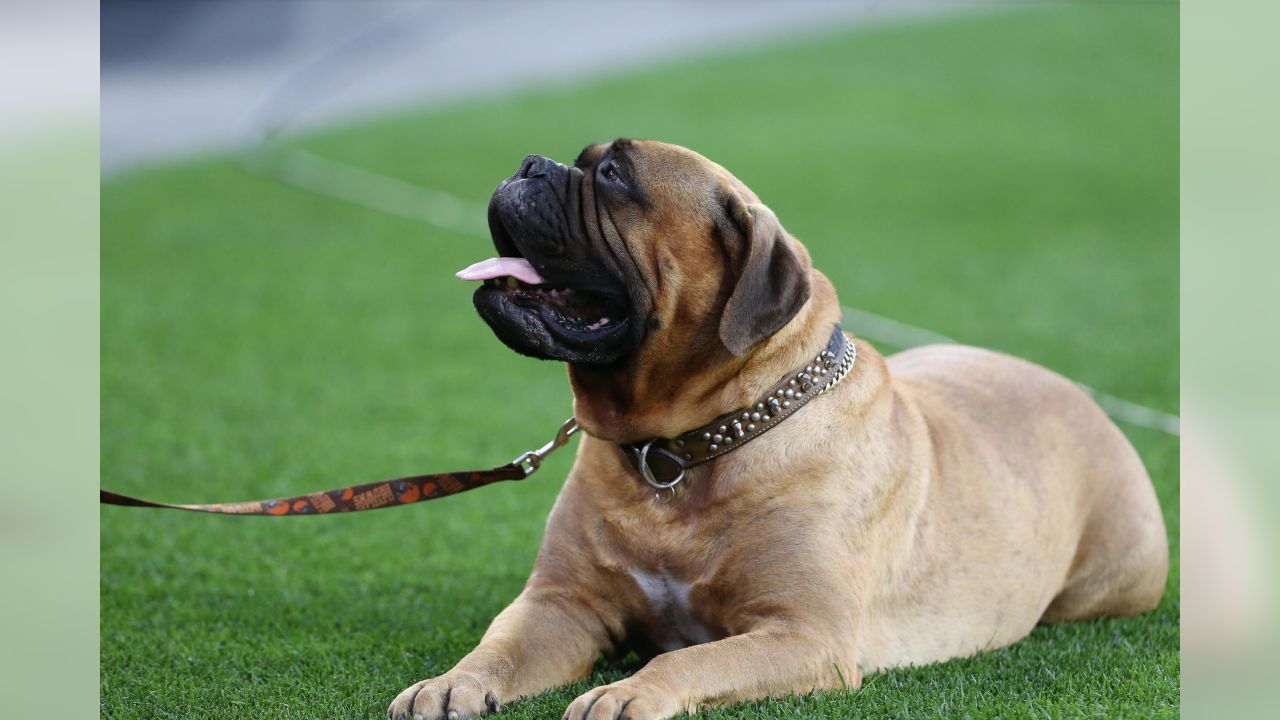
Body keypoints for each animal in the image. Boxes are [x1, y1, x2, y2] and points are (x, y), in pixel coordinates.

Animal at [384, 140, 1167, 717]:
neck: (680, 453)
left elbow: (691, 656)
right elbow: (501, 644)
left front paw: (628, 692)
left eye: (613, 176)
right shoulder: (562, 604)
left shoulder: (802, 633)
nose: (529, 164)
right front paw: (450, 683)